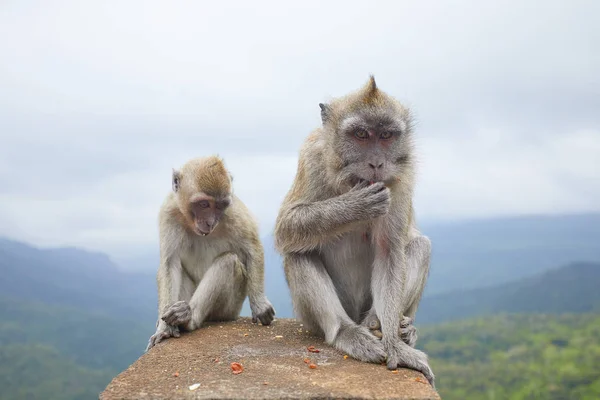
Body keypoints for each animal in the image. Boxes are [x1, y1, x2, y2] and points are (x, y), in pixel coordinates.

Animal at [146, 155, 276, 350]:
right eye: (204, 204)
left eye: (221, 205)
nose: (210, 222)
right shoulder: (169, 212)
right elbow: (170, 264)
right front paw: (163, 328)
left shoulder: (233, 212)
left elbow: (253, 249)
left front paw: (260, 305)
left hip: (229, 309)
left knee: (228, 262)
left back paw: (188, 318)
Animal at [274, 76, 434, 386]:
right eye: (361, 134)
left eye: (386, 136)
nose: (376, 163)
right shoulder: (312, 156)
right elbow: (286, 228)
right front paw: (355, 206)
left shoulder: (401, 178)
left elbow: (389, 251)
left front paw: (394, 345)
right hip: (315, 318)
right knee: (298, 252)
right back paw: (346, 332)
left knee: (420, 246)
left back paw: (391, 327)